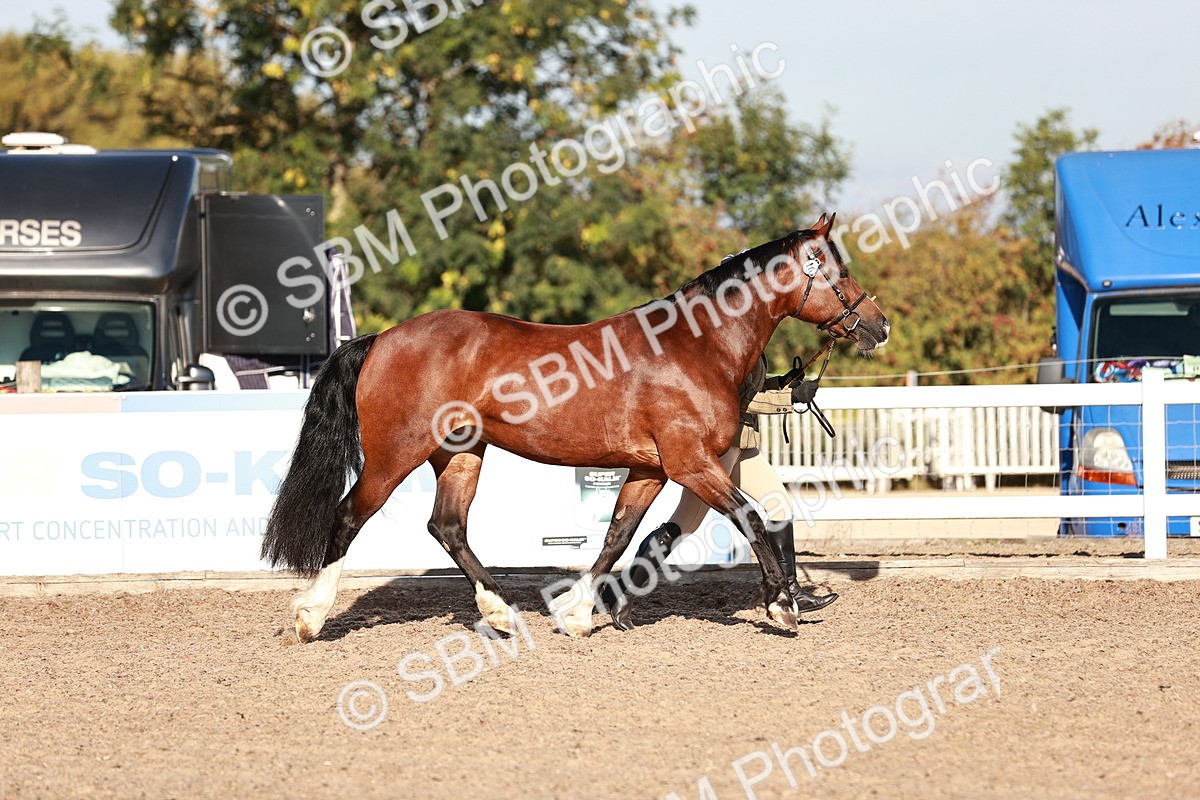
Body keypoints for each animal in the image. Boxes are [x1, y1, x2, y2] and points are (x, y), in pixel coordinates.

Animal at [261, 213, 889, 641]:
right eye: (836, 269)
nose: (878, 326)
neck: (696, 346)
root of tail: (380, 340)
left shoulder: (649, 470)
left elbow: (618, 536)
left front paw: (579, 613)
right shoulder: (690, 463)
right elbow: (751, 518)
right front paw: (783, 606)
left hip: (460, 455)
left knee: (448, 527)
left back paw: (502, 614)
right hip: (396, 454)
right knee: (348, 517)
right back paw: (311, 616)